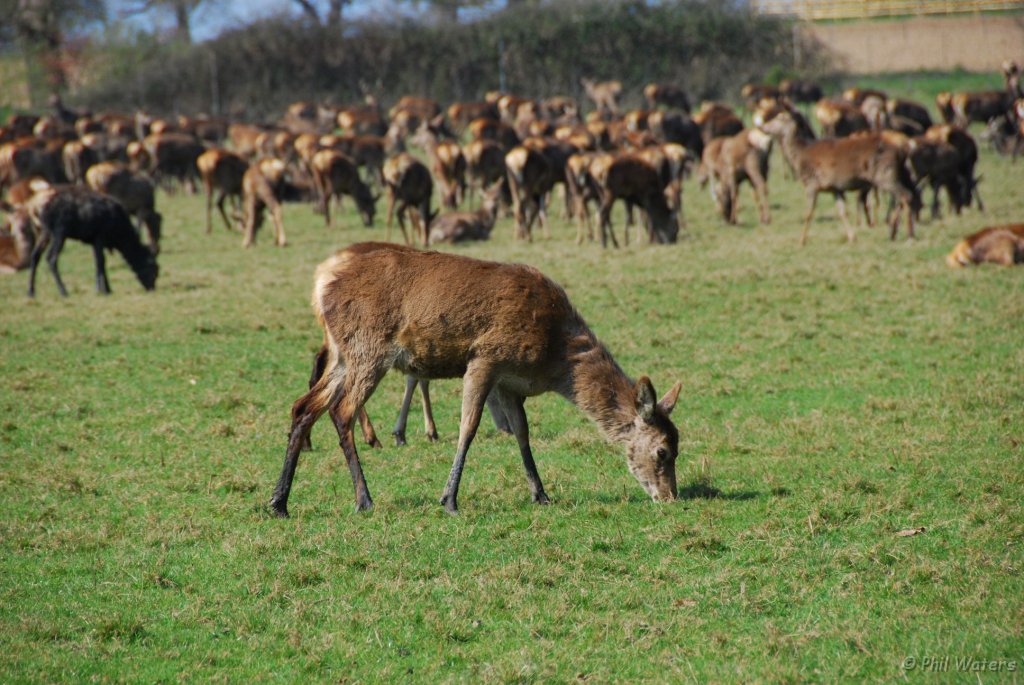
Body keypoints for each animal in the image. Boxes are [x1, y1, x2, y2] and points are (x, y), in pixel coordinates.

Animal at [24, 185, 157, 294]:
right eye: (153, 267)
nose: (152, 288)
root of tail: (36, 210)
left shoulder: (94, 240)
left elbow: (100, 262)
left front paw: (107, 289)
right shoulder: (100, 236)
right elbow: (100, 261)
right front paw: (100, 289)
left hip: (44, 231)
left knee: (35, 255)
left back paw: (31, 291)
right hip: (59, 232)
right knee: (51, 258)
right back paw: (63, 291)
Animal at [268, 244, 679, 511]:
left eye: (678, 444)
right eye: (663, 450)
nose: (670, 497)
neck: (553, 356)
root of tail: (321, 287)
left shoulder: (511, 383)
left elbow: (522, 434)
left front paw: (541, 494)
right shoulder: (485, 358)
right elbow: (469, 427)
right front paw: (449, 498)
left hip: (343, 354)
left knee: (303, 406)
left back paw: (278, 501)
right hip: (368, 351)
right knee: (342, 411)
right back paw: (364, 499)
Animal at [761, 109, 921, 242]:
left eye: (781, 117)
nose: (763, 126)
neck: (800, 156)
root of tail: (904, 147)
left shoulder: (811, 182)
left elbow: (808, 213)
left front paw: (801, 240)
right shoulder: (835, 188)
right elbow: (842, 211)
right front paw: (852, 237)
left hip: (885, 174)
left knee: (906, 195)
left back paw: (907, 234)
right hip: (899, 173)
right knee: (909, 195)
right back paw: (895, 232)